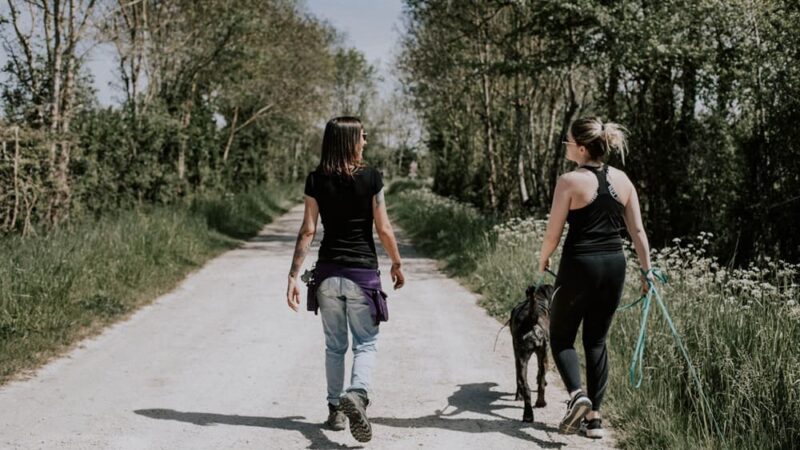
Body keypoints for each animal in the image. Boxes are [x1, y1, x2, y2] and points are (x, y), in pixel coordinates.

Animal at [510, 284, 552, 422]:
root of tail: (531, 320)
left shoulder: (516, 355)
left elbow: (518, 379)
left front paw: (518, 396)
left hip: (522, 358)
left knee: (525, 385)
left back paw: (528, 414)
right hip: (542, 356)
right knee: (541, 383)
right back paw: (540, 403)